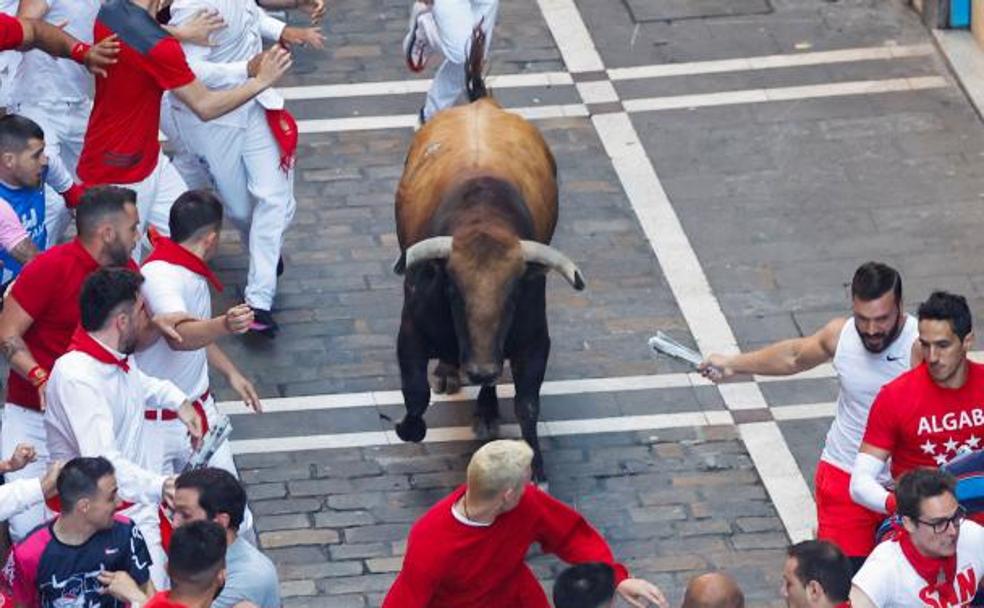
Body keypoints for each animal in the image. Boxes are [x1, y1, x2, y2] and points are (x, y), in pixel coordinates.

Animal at [390, 29, 584, 484]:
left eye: (511, 295)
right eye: (453, 291)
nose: (478, 368)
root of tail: (481, 103)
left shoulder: (533, 339)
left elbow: (528, 404)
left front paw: (536, 464)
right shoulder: (410, 331)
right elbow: (415, 395)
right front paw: (410, 425)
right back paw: (450, 373)